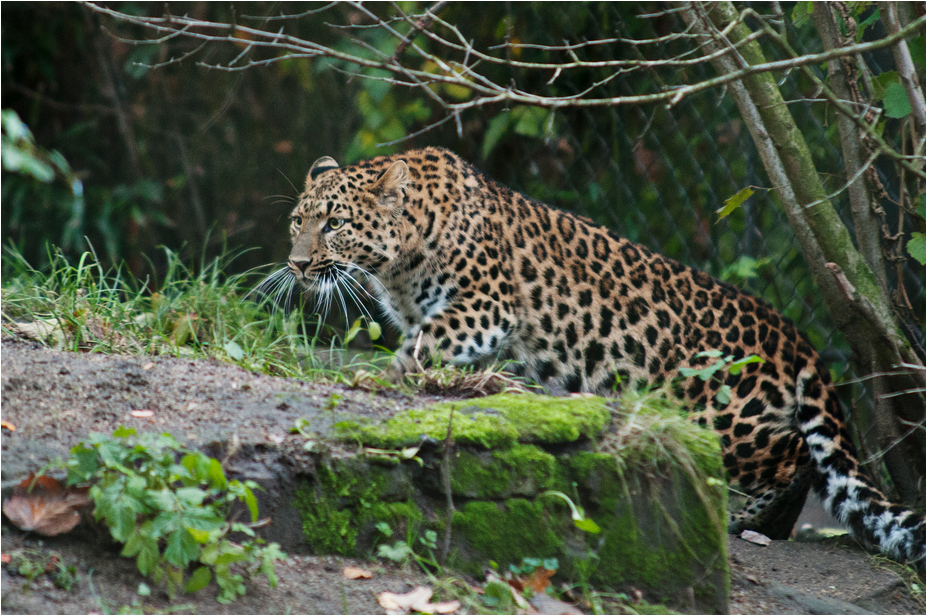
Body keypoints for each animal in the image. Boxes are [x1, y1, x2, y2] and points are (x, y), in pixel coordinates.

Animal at [263, 146, 924, 566]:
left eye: (335, 224)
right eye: (297, 220)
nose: (296, 264)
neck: (399, 257)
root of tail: (797, 338)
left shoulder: (486, 306)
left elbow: (423, 343)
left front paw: (385, 375)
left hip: (713, 409)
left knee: (792, 455)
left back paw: (745, 520)